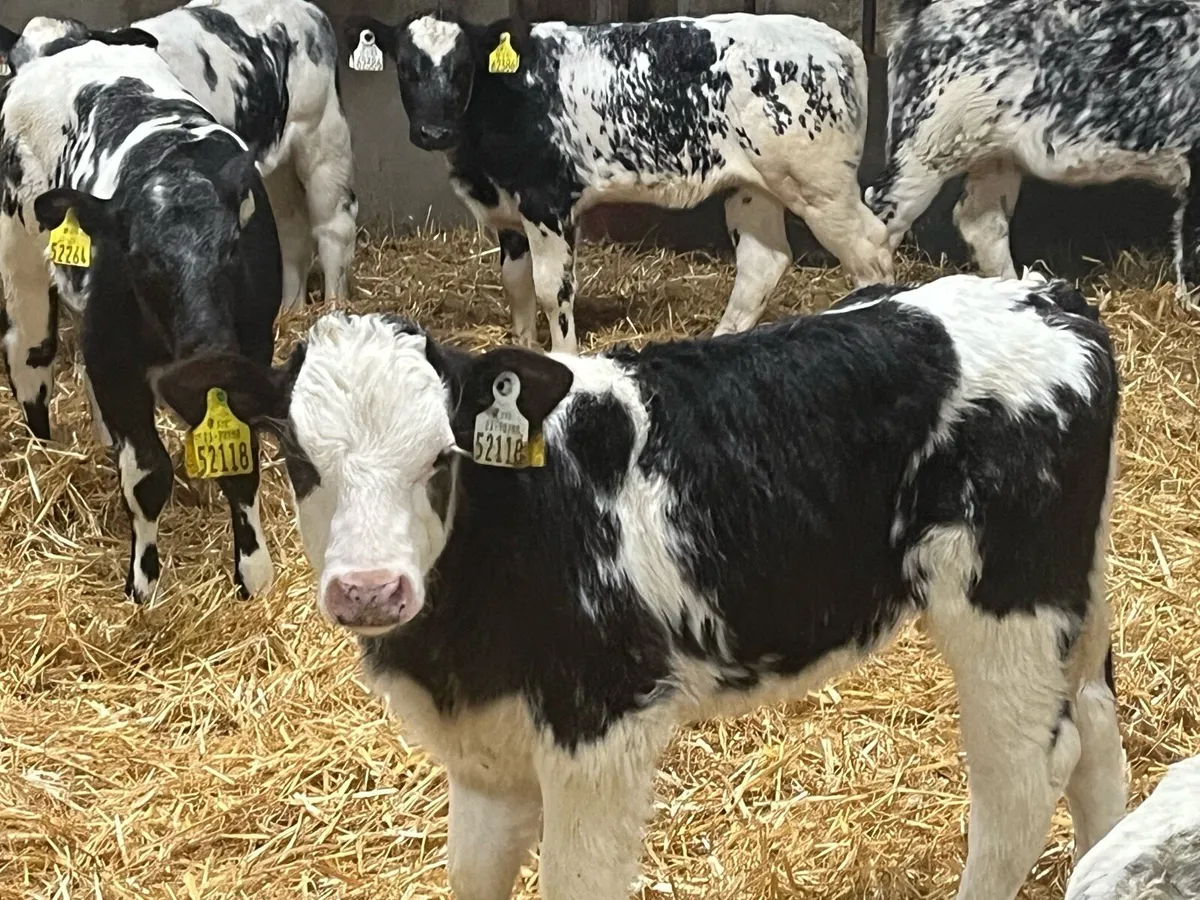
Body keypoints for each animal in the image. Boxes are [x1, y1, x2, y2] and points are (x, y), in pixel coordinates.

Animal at [0, 30, 282, 603]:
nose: (206, 350)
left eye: (232, 248)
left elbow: (239, 456)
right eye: (139, 258)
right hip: (19, 260)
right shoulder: (115, 361)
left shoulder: (249, 351)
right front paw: (144, 587)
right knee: (29, 356)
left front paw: (253, 575)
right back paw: (44, 451)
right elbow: (148, 474)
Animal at [1, 0, 357, 311]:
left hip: (324, 138)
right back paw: (290, 311)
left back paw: (332, 310)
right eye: (14, 64)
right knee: (291, 227)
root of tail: (309, 11)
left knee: (333, 227)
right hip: (273, 163)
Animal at [155, 272, 1124, 900]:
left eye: (442, 457)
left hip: (1008, 604)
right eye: (296, 458)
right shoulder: (487, 758)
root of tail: (1055, 301)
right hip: (1076, 597)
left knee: (1023, 781)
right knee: (1098, 737)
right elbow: (473, 877)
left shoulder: (603, 726)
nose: (368, 590)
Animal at [344, 10, 894, 354]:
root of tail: (839, 43)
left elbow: (552, 291)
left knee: (871, 250)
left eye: (461, 70)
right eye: (407, 70)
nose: (433, 132)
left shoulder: (548, 204)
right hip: (755, 186)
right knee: (764, 263)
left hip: (820, 186)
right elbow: (517, 288)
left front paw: (564, 355)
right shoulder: (509, 212)